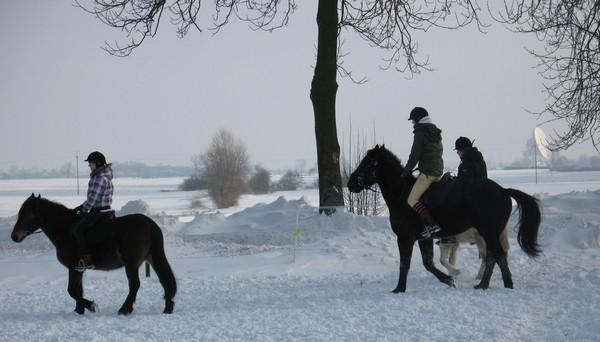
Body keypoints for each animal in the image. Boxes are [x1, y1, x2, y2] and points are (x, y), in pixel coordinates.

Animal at [10, 195, 176, 316]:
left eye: (30, 214)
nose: (14, 236)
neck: (65, 230)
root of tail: (150, 225)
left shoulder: (74, 267)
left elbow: (72, 290)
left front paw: (91, 305)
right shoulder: (78, 269)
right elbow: (78, 290)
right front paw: (79, 311)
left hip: (132, 264)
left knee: (135, 285)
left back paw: (124, 309)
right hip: (152, 258)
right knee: (164, 280)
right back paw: (168, 307)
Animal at [344, 146, 540, 292]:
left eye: (367, 163)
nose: (350, 183)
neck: (402, 194)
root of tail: (503, 191)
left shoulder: (405, 238)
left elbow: (405, 264)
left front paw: (399, 289)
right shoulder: (424, 238)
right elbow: (428, 263)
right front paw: (449, 279)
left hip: (488, 233)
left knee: (497, 255)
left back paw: (505, 285)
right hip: (487, 234)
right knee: (493, 256)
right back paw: (483, 285)